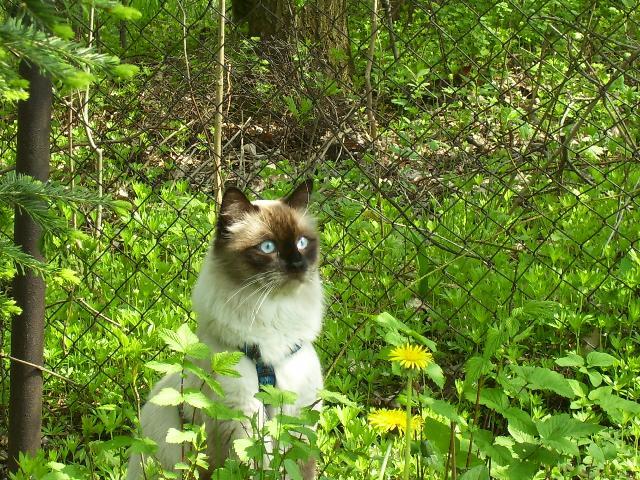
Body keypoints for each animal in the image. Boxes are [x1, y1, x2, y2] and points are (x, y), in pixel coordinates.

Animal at [126, 181, 324, 480]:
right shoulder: (244, 415)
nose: (298, 265)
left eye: (302, 242)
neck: (275, 313)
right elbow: (258, 465)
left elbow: (297, 466)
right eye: (268, 247)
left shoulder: (299, 411)